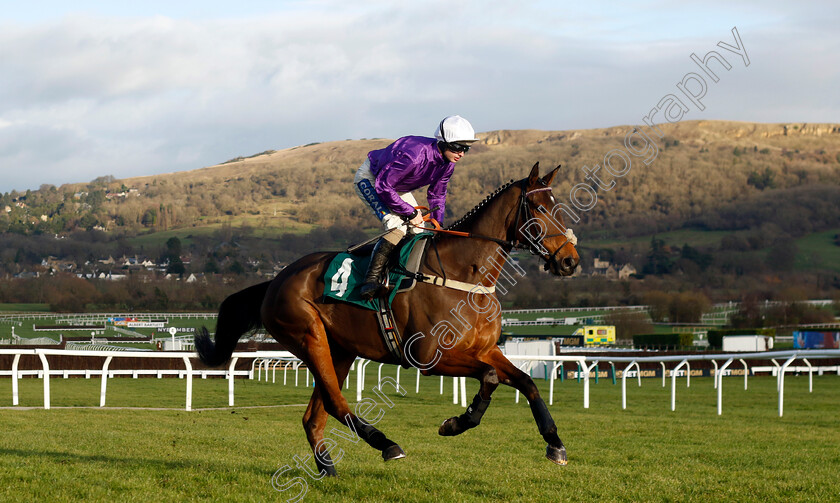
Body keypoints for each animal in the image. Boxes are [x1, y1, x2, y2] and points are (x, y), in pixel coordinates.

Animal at [196, 162, 576, 476]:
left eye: (557, 206)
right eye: (540, 209)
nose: (570, 260)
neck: (463, 275)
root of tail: (275, 280)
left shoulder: (484, 350)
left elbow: (525, 381)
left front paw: (555, 444)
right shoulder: (429, 358)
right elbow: (492, 377)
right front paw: (456, 422)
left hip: (341, 349)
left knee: (314, 415)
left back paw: (328, 470)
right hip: (309, 336)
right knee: (334, 402)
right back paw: (386, 444)